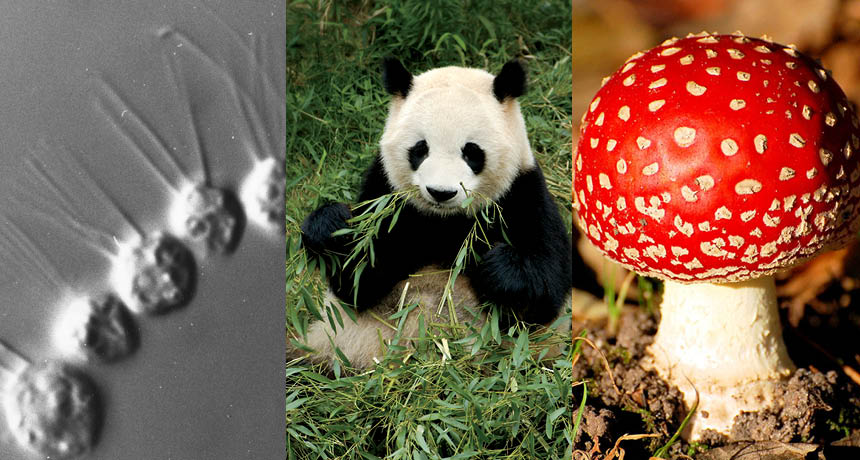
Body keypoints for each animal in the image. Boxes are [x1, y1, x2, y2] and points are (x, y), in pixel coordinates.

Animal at [295, 58, 572, 369]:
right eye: (420, 149)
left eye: (471, 152)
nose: (441, 192)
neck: (445, 222)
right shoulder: (388, 197)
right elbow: (359, 281)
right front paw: (331, 227)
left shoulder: (523, 195)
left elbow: (544, 293)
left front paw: (497, 267)